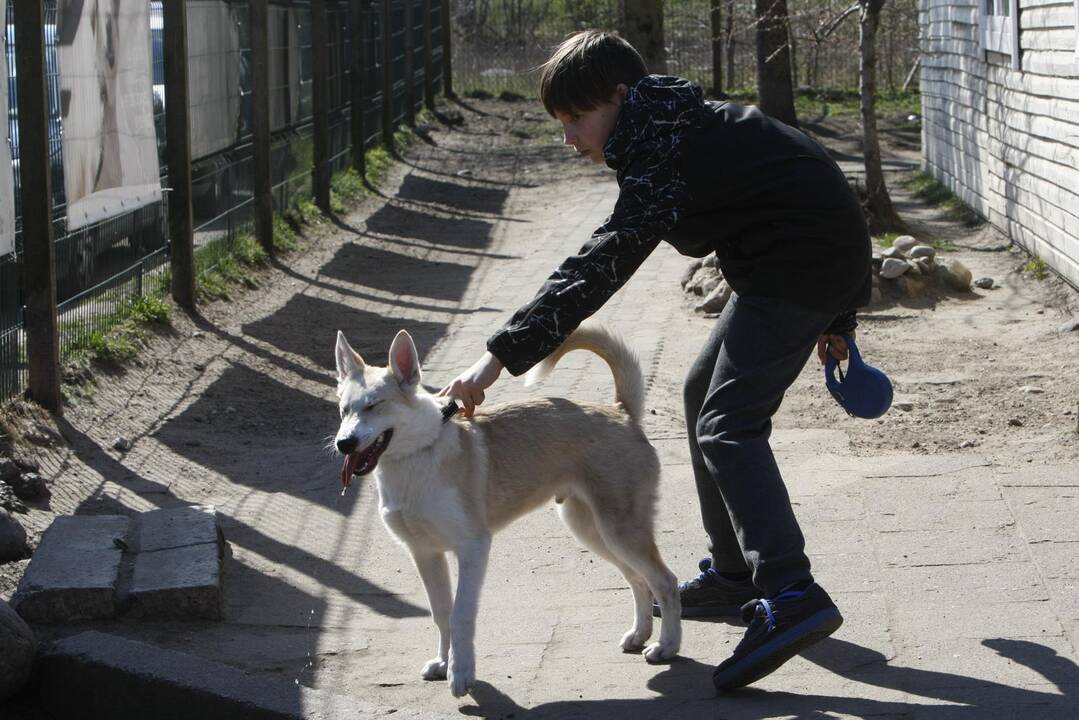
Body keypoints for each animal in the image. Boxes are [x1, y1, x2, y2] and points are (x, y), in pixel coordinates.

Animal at [332, 325, 677, 699]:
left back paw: (667, 646)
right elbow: (441, 613)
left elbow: (460, 615)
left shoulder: (473, 548)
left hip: (620, 531)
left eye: (374, 405)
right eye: (343, 410)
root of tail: (621, 412)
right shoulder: (424, 554)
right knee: (638, 580)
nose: (343, 444)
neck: (417, 456)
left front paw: (461, 673)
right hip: (594, 530)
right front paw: (443, 663)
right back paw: (640, 634)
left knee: (665, 581)